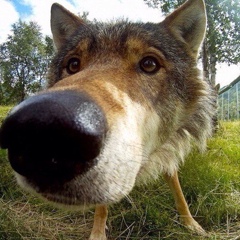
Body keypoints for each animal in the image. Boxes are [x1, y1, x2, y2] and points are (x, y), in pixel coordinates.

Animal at [0, 0, 215, 237]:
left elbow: (177, 188)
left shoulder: (169, 149)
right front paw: (98, 233)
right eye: (73, 65)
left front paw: (191, 224)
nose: (42, 128)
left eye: (149, 64)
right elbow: (101, 207)